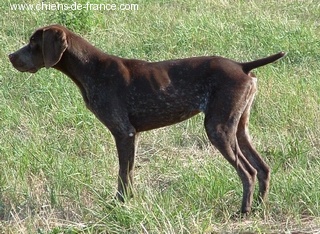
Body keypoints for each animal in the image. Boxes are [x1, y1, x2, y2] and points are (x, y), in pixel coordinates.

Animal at [9, 25, 284, 214]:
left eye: (33, 43)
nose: (11, 56)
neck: (91, 69)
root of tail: (242, 66)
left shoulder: (123, 133)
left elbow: (122, 174)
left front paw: (118, 205)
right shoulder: (133, 135)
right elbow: (129, 173)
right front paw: (128, 202)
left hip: (217, 129)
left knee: (248, 172)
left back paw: (243, 212)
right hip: (238, 128)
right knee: (262, 168)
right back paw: (258, 208)